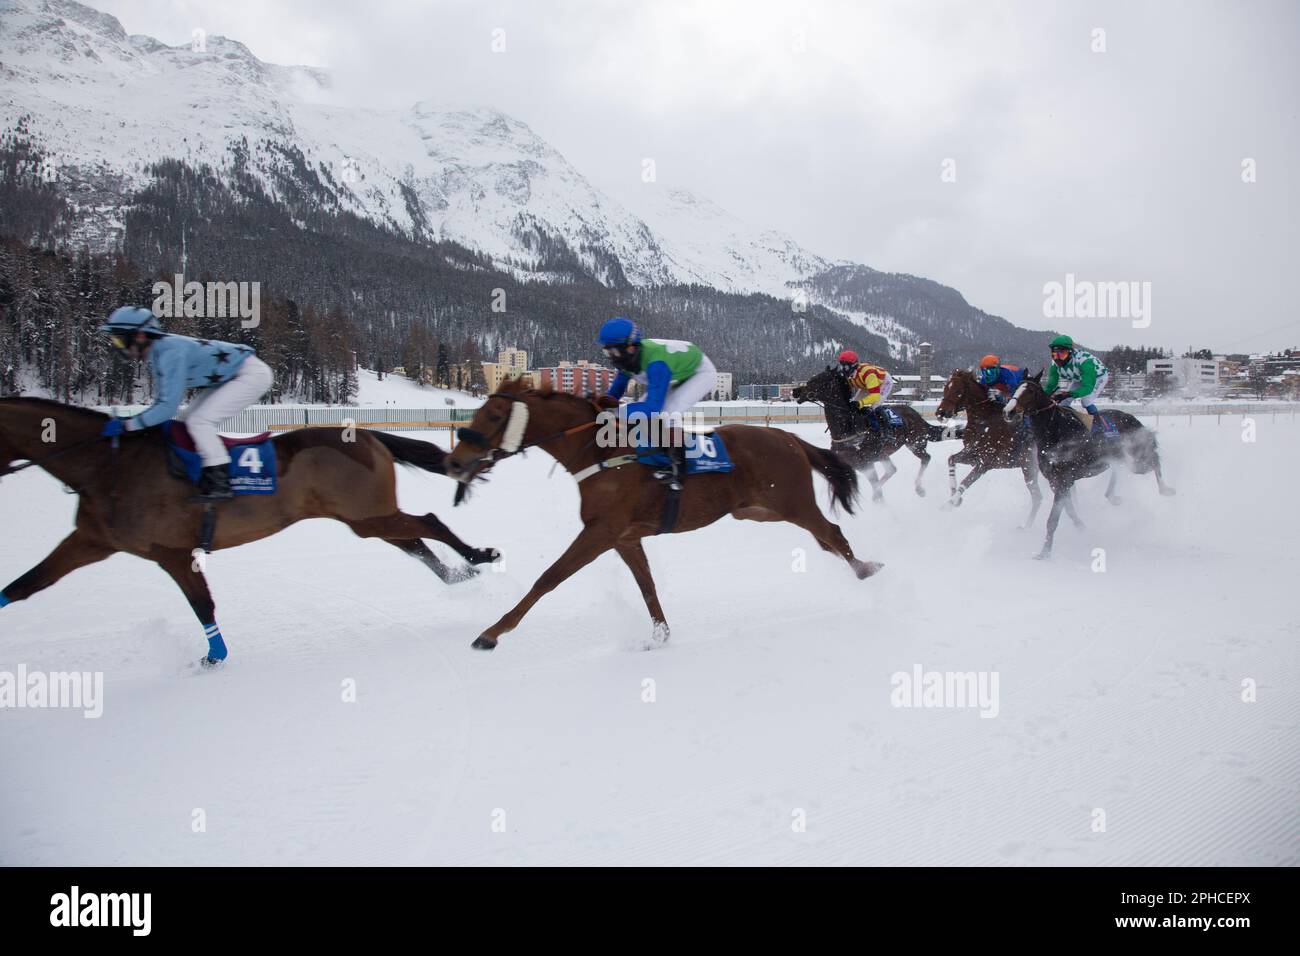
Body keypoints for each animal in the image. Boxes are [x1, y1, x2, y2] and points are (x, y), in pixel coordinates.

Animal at [0, 395, 496, 665]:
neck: (109, 464)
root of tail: (368, 435)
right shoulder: (91, 540)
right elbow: (23, 586)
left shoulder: (171, 551)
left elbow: (202, 603)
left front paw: (212, 658)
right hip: (364, 519)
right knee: (412, 540)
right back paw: (461, 573)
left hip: (368, 514)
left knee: (427, 523)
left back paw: (480, 556)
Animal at [444, 382, 883, 650]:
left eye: (494, 416)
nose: (454, 462)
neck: (598, 452)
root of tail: (787, 436)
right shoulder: (624, 537)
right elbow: (647, 586)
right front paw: (659, 634)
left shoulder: (600, 532)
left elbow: (548, 578)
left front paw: (491, 633)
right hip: (758, 511)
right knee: (824, 540)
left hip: (792, 503)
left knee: (833, 532)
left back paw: (866, 570)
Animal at [790, 364, 946, 502]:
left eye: (817, 380)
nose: (795, 391)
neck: (849, 428)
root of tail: (917, 415)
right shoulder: (849, 463)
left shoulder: (866, 464)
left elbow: (877, 491)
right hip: (884, 454)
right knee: (892, 470)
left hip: (915, 443)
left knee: (926, 458)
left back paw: (919, 488)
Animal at [998, 369, 1175, 556]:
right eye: (1016, 388)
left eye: (1031, 391)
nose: (1008, 411)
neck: (1055, 430)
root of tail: (1133, 418)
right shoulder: (1056, 481)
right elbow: (1069, 510)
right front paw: (1082, 528)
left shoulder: (1064, 479)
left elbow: (1053, 519)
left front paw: (1044, 553)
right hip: (1119, 458)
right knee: (1119, 469)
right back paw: (1112, 496)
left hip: (1137, 459)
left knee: (1154, 461)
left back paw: (1166, 489)